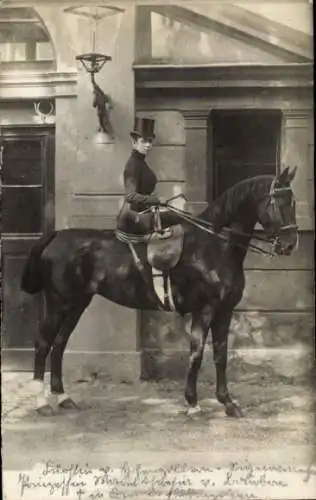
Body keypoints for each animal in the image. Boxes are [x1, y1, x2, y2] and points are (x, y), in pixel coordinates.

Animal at [21, 166, 298, 416]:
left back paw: (63, 397)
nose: (290, 245)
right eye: (279, 202)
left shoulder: (224, 311)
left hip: (77, 304)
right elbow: (197, 354)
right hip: (58, 303)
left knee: (59, 344)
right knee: (43, 344)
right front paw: (193, 403)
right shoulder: (206, 310)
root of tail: (57, 235)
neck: (215, 246)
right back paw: (42, 403)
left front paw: (228, 403)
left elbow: (221, 355)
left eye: (294, 202)